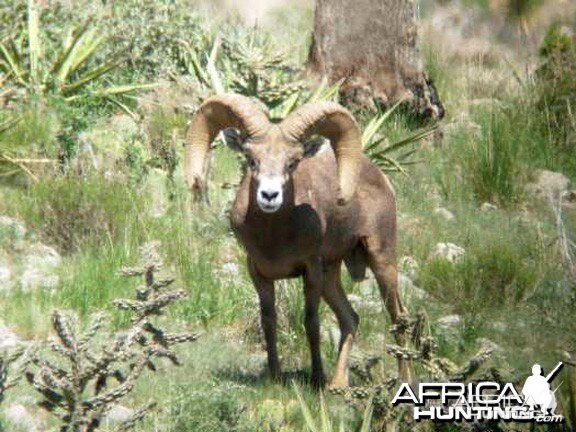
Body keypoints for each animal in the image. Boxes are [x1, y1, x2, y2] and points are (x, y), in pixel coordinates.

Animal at [187, 92, 408, 388]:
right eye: (251, 159)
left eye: (292, 162)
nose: (269, 196)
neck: (274, 238)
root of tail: (382, 179)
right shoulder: (258, 273)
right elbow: (268, 320)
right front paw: (274, 374)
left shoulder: (310, 270)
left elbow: (311, 322)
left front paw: (316, 378)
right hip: (331, 274)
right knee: (350, 318)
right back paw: (338, 384)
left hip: (381, 259)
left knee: (398, 318)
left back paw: (403, 381)